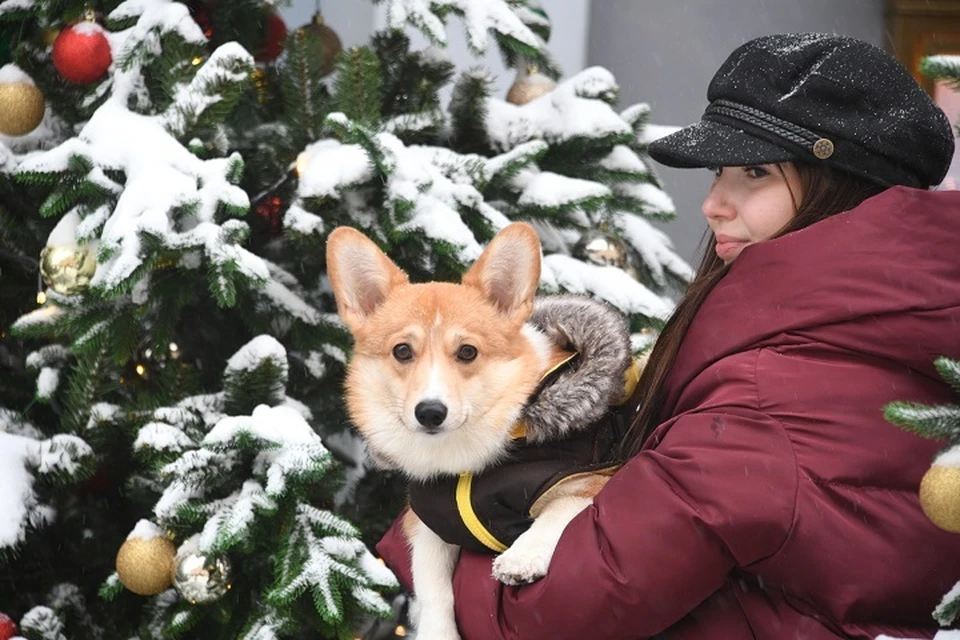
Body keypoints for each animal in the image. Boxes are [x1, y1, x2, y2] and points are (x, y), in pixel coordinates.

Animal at [324, 222, 624, 636]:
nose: (430, 413)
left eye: (468, 352)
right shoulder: (427, 525)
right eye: (402, 351)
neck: (467, 458)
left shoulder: (592, 478)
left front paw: (521, 558)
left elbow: (559, 511)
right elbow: (433, 588)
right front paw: (437, 632)